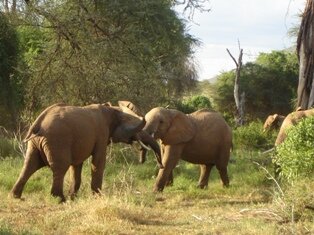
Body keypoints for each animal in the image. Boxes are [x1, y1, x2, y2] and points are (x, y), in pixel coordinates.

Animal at [10, 103, 162, 202]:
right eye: (137, 128)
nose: (160, 166)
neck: (112, 109)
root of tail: (38, 124)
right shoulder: (101, 133)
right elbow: (98, 162)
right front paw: (98, 197)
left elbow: (77, 165)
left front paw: (74, 197)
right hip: (57, 140)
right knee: (60, 167)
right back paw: (59, 199)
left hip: (35, 144)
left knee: (29, 165)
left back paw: (15, 197)